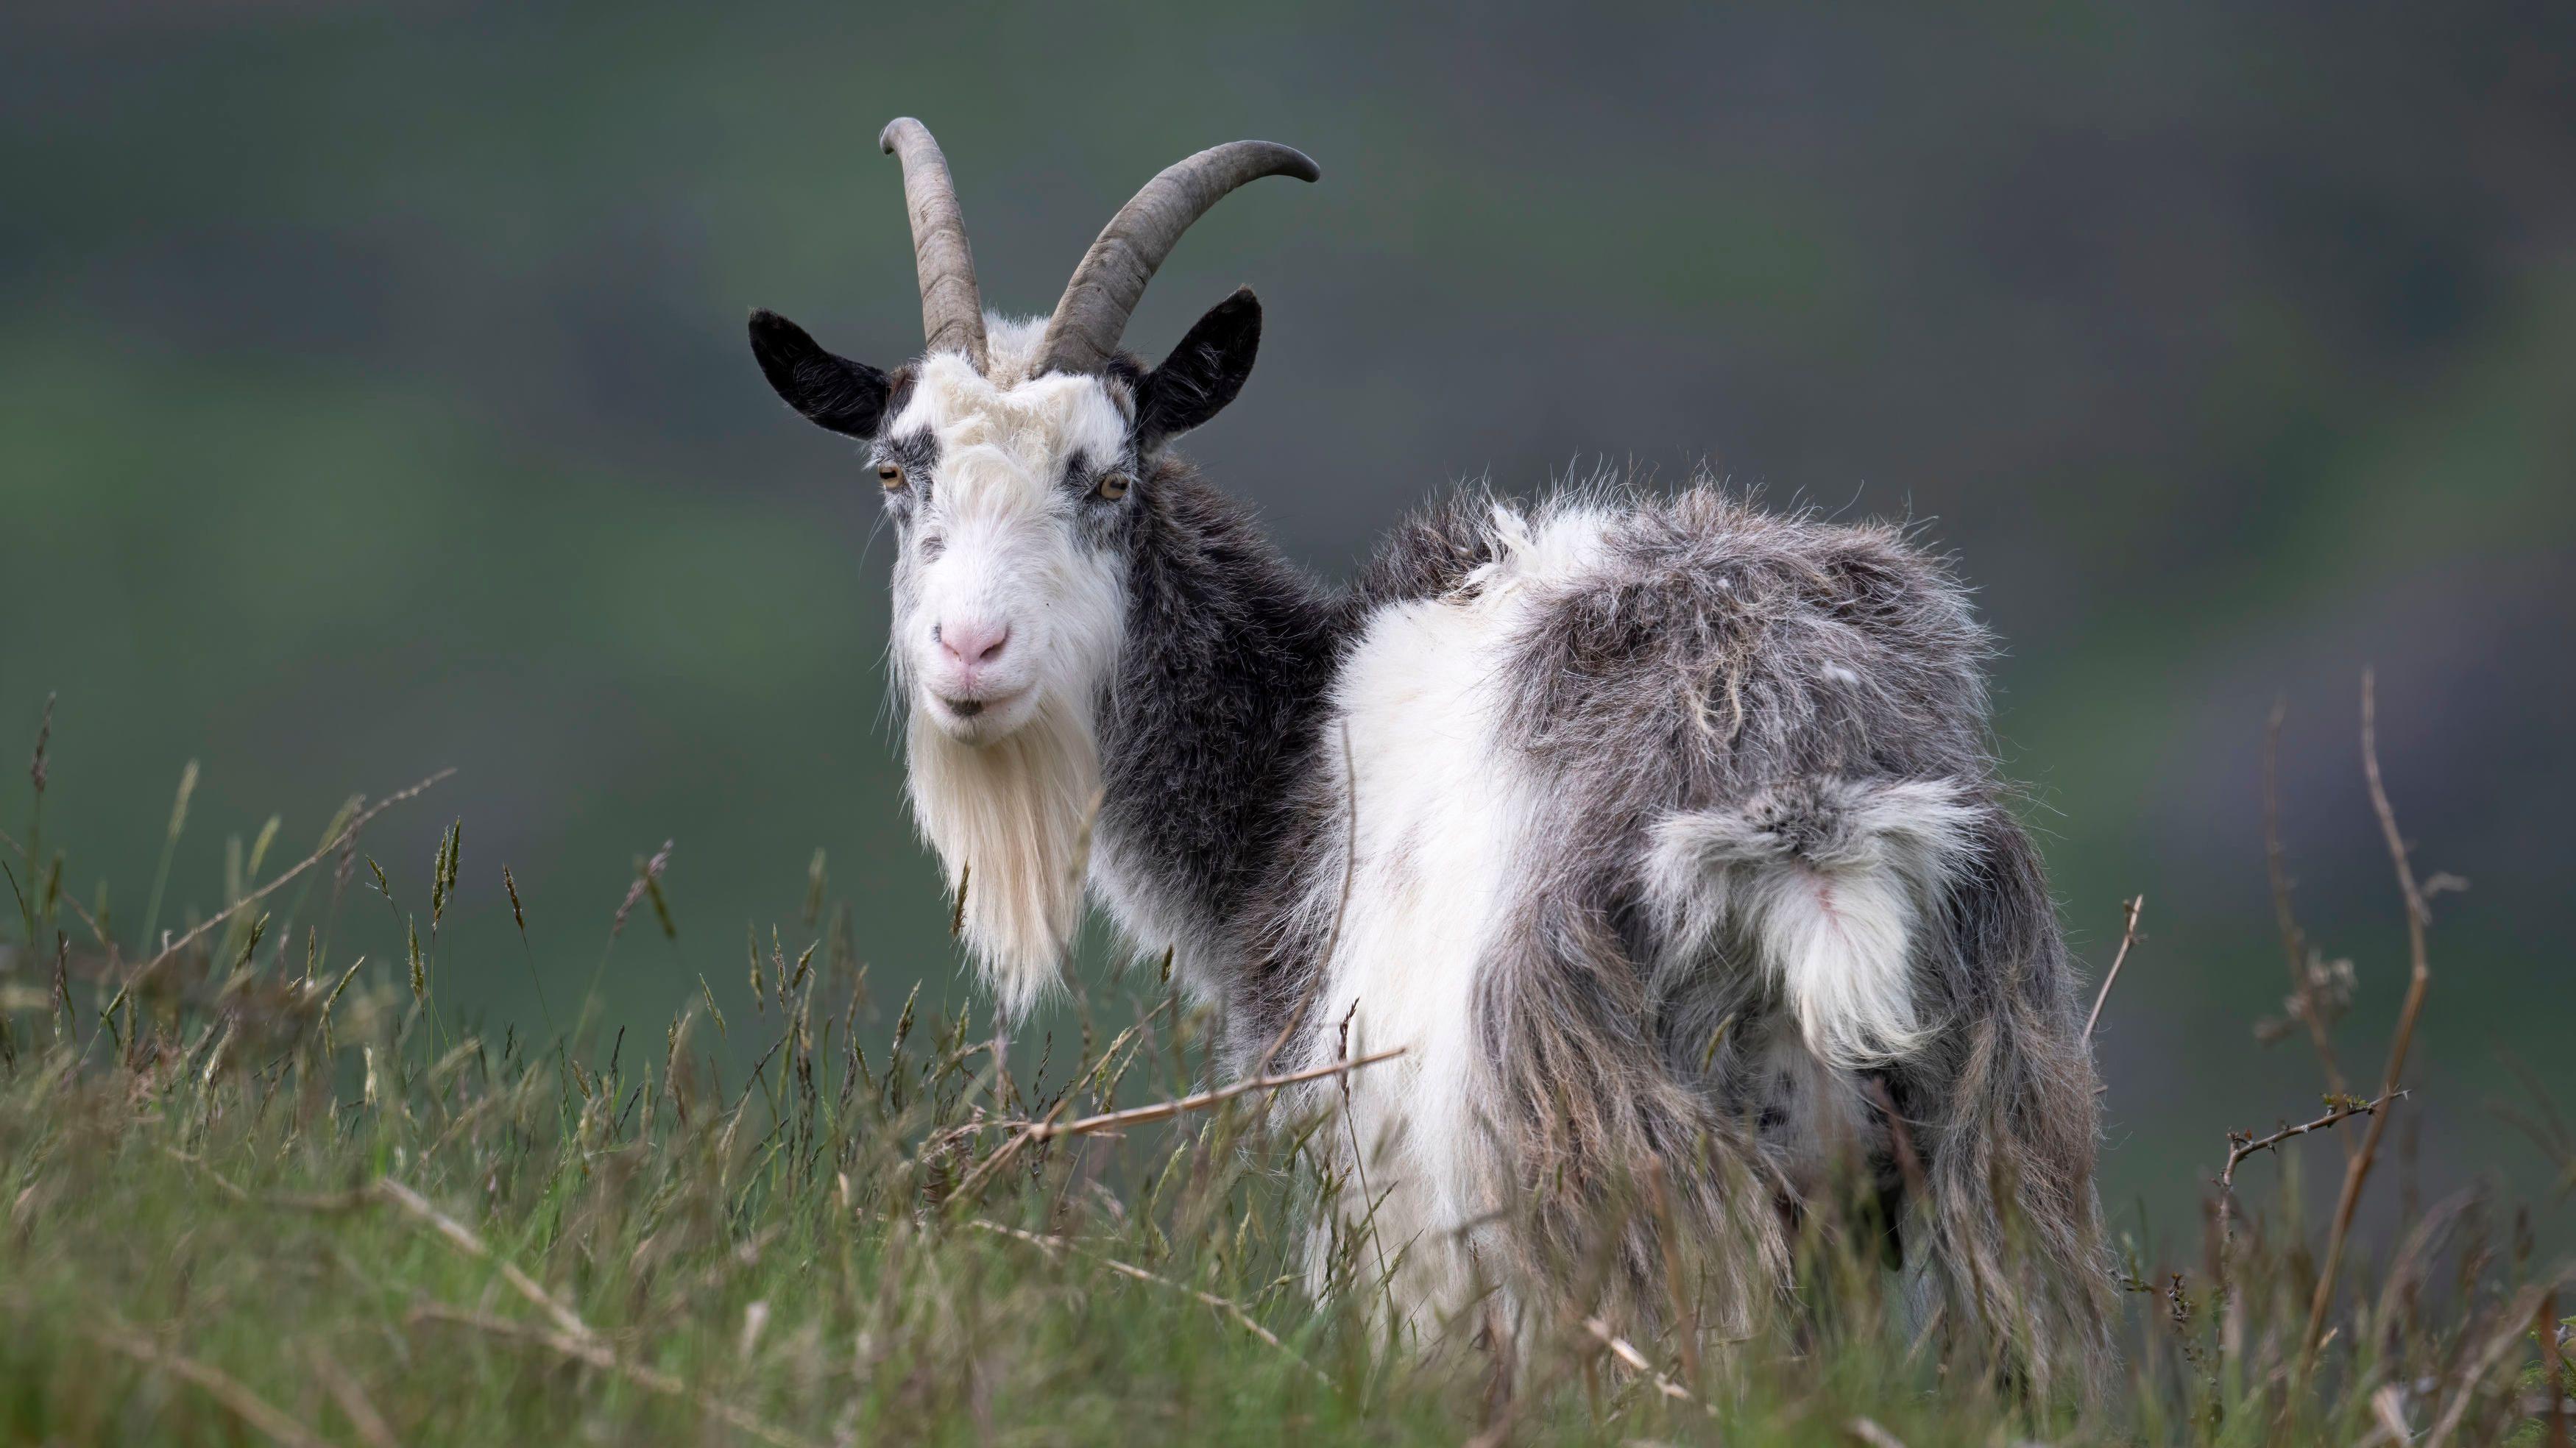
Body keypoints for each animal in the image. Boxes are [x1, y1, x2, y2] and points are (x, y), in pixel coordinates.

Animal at [747, 121, 2112, 1391]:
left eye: (1109, 479)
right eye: (895, 472)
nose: (969, 650)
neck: (1298, 747)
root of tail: (1808, 814)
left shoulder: (1381, 1202)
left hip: (1600, 1177)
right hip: (1991, 1153)